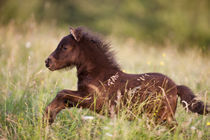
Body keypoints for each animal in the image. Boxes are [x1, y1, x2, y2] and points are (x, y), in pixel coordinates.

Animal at [43, 26, 209, 126]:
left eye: (64, 47)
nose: (47, 62)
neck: (99, 74)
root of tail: (175, 87)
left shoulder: (92, 100)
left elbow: (62, 93)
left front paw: (47, 118)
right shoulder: (82, 98)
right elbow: (63, 99)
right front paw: (48, 119)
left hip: (162, 118)